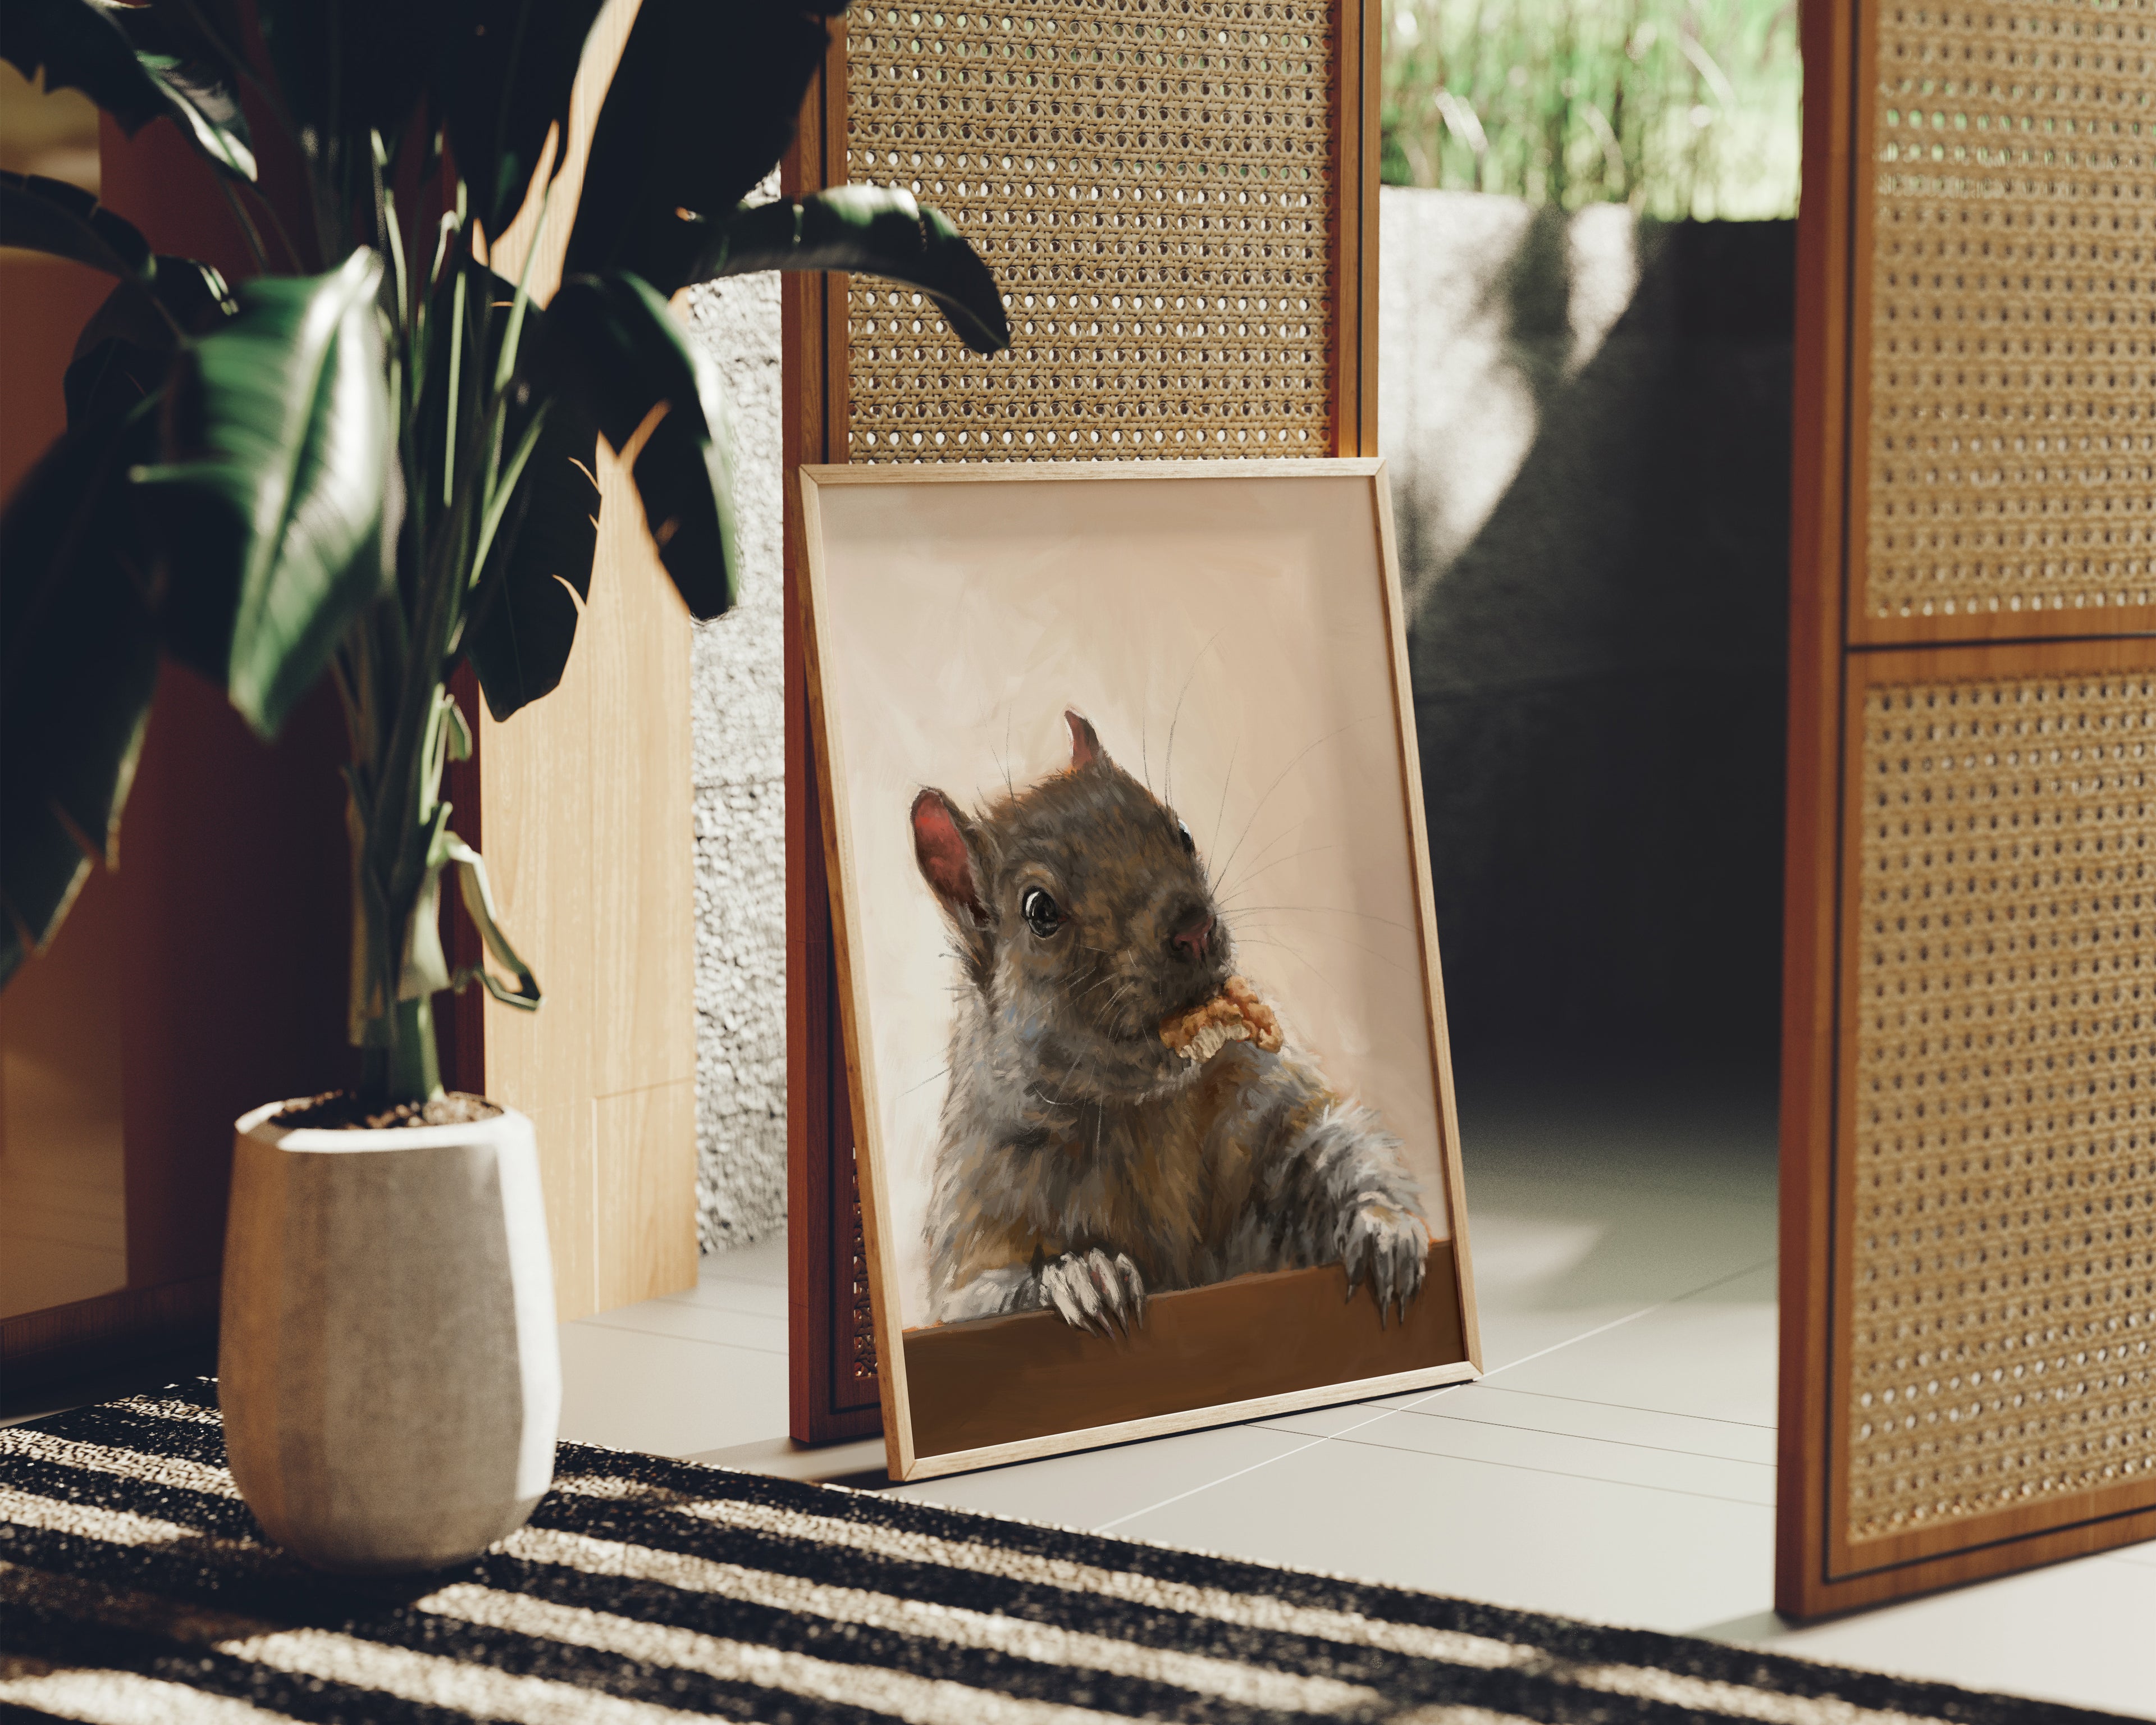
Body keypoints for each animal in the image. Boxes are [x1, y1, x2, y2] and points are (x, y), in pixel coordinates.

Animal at [911, 710, 1429, 1336]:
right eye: (1039, 911)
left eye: (1181, 830)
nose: (1194, 928)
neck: (1141, 1110)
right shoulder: (977, 1219)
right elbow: (979, 1296)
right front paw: (1080, 1275)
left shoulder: (1260, 1098)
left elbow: (1330, 1144)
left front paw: (1385, 1226)